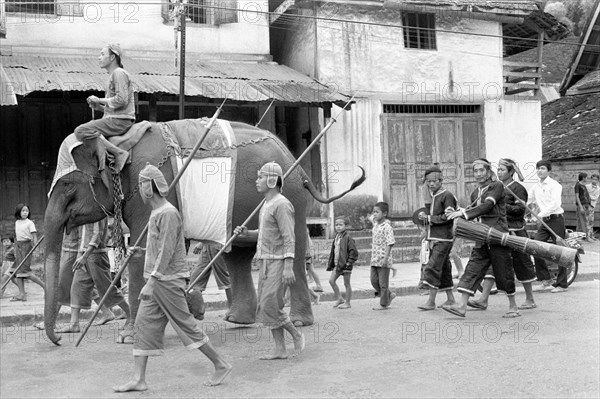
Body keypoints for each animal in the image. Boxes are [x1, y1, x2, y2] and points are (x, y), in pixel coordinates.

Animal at [43, 119, 366, 346]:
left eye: (67, 185)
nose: (58, 339)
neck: (118, 143)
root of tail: (297, 164)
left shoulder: (153, 185)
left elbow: (144, 251)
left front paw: (129, 336)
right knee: (238, 255)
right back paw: (237, 320)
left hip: (292, 199)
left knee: (293, 251)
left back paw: (297, 323)